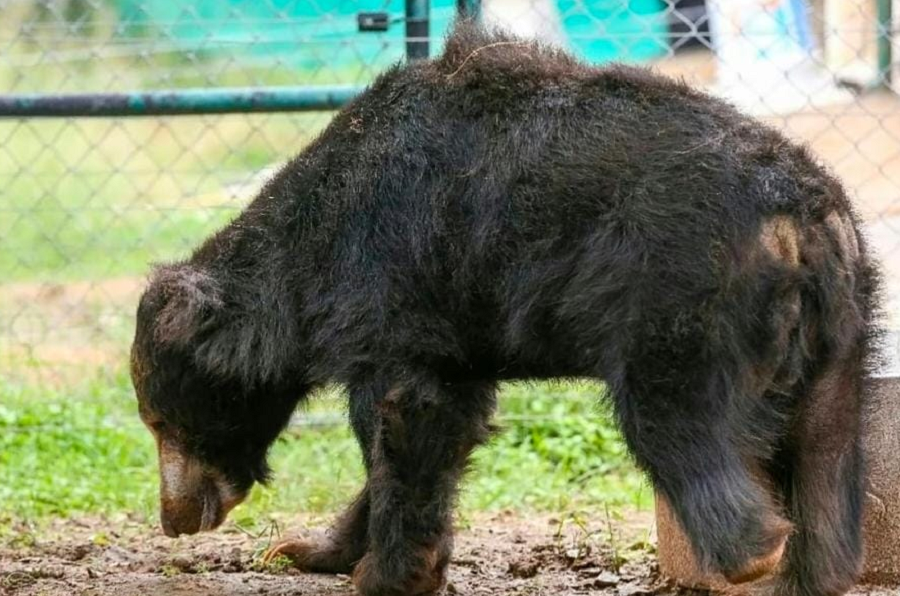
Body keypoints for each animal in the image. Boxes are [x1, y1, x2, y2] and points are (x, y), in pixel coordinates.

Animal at [130, 21, 881, 596]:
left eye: (161, 422)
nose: (175, 516)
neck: (304, 255)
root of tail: (803, 218)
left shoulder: (392, 277)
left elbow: (407, 418)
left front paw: (383, 574)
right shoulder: (456, 321)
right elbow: (434, 425)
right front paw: (308, 548)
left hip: (682, 309)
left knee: (679, 428)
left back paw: (753, 556)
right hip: (842, 337)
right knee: (825, 460)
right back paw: (816, 571)